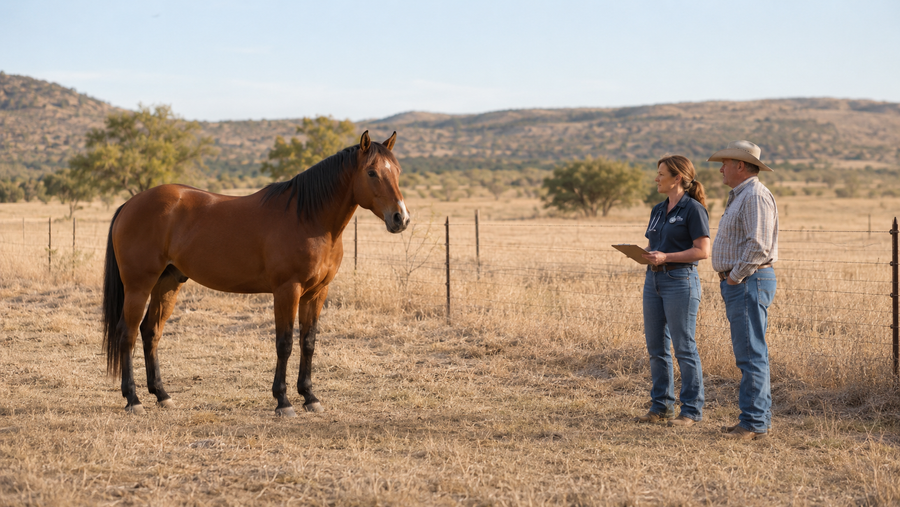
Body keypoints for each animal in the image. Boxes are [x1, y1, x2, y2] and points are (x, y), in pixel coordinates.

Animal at [101, 131, 409, 416]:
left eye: (397, 171)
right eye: (371, 172)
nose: (401, 218)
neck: (309, 218)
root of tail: (130, 204)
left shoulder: (317, 292)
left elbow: (308, 342)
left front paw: (310, 397)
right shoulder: (287, 291)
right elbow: (285, 343)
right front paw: (283, 401)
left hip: (167, 283)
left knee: (150, 331)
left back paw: (162, 395)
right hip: (139, 286)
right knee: (127, 334)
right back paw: (133, 400)